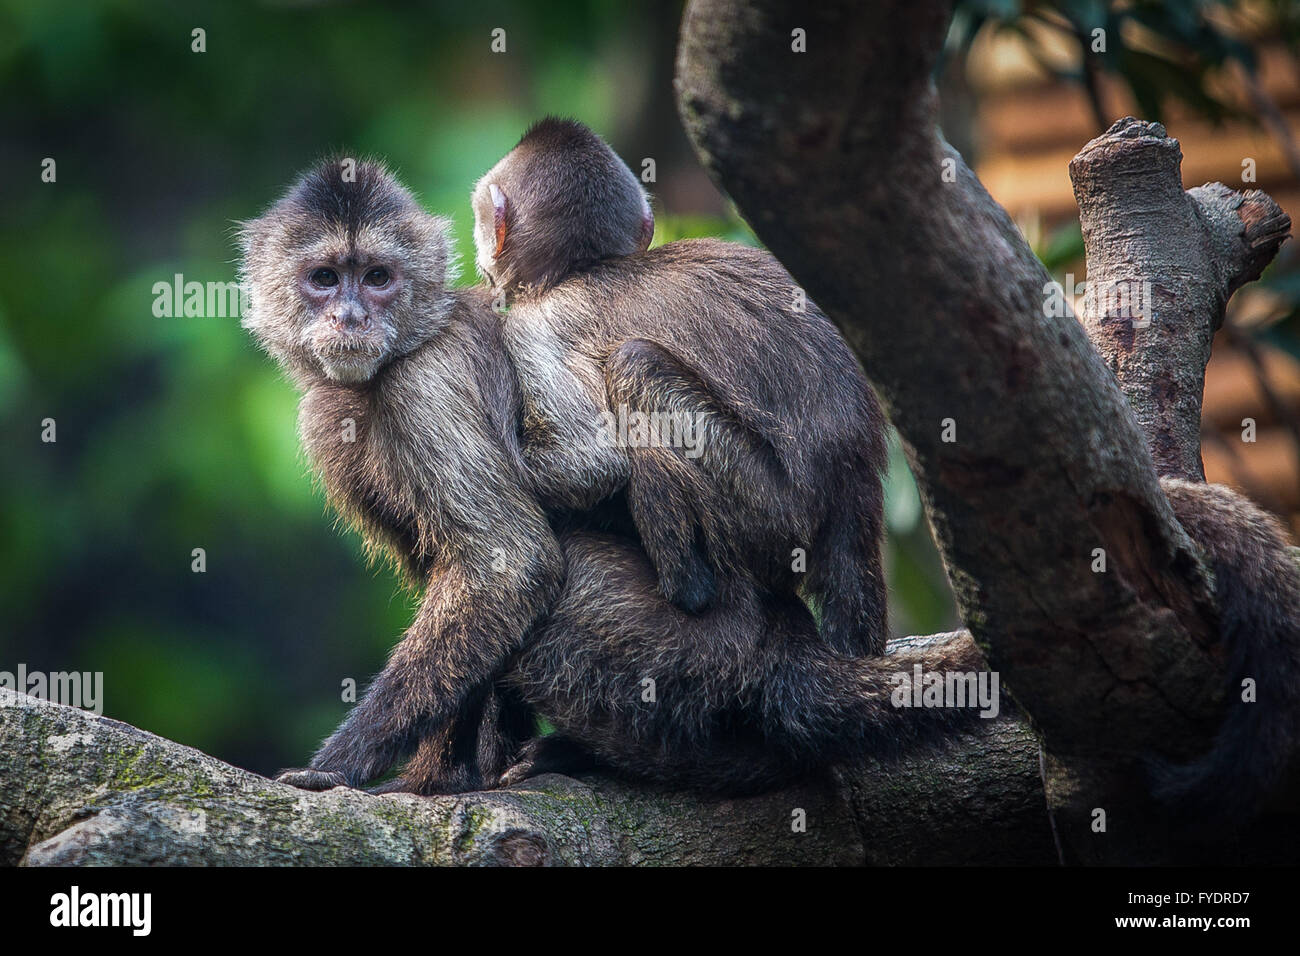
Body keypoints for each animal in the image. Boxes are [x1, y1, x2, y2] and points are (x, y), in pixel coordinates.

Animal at [475, 117, 894, 658]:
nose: (481, 253)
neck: (584, 269)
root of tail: (855, 476)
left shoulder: (536, 326)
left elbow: (592, 462)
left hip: (772, 513)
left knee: (635, 364)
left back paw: (687, 589)